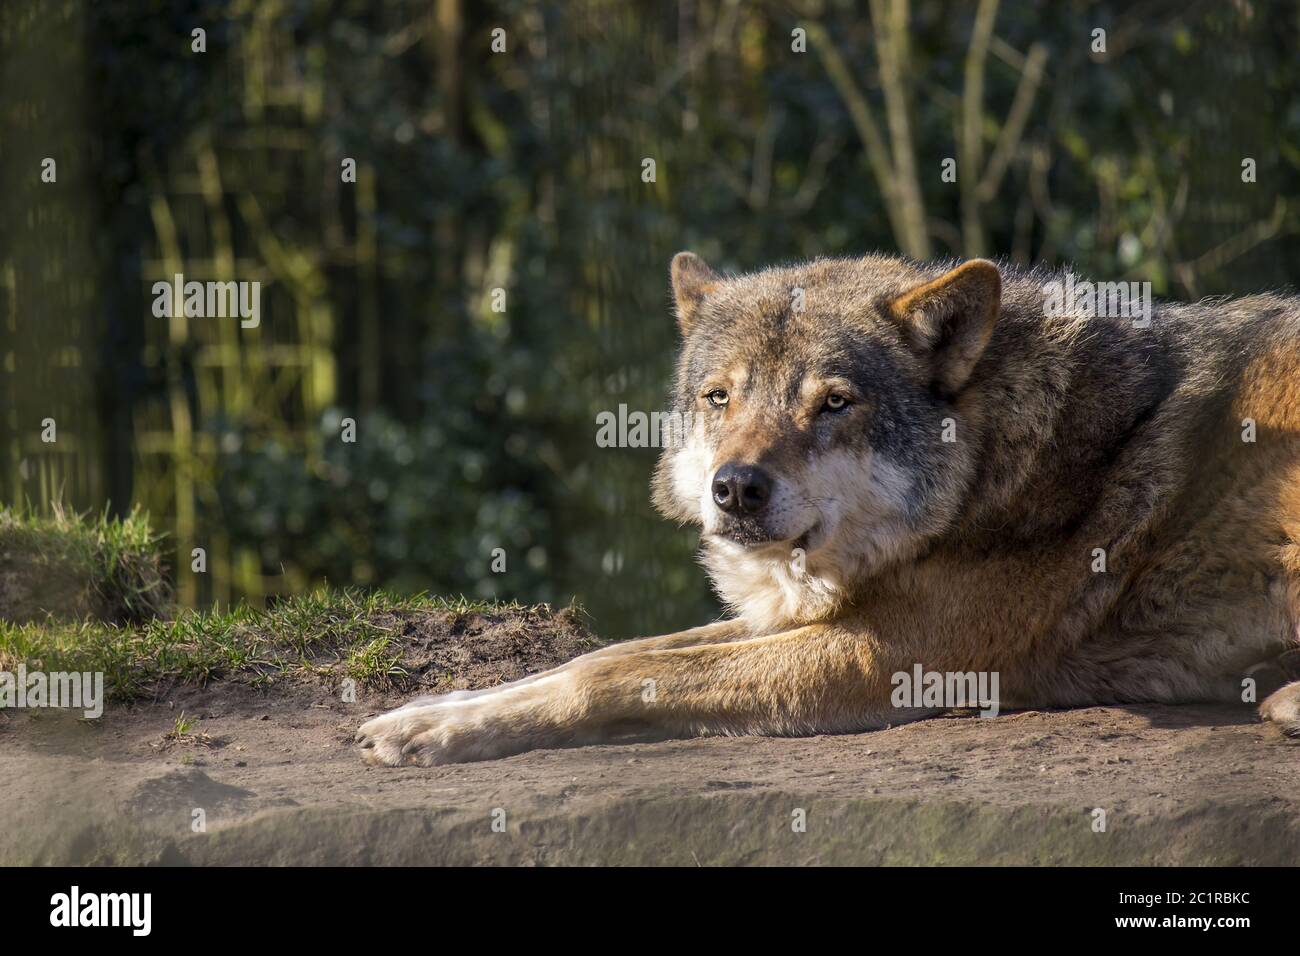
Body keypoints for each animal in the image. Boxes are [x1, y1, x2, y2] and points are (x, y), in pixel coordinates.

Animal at [357, 252, 1300, 765]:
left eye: (834, 403)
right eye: (720, 396)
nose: (735, 488)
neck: (994, 464)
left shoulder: (882, 655)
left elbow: (606, 674)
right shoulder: (803, 619)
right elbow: (609, 654)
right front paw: (431, 716)